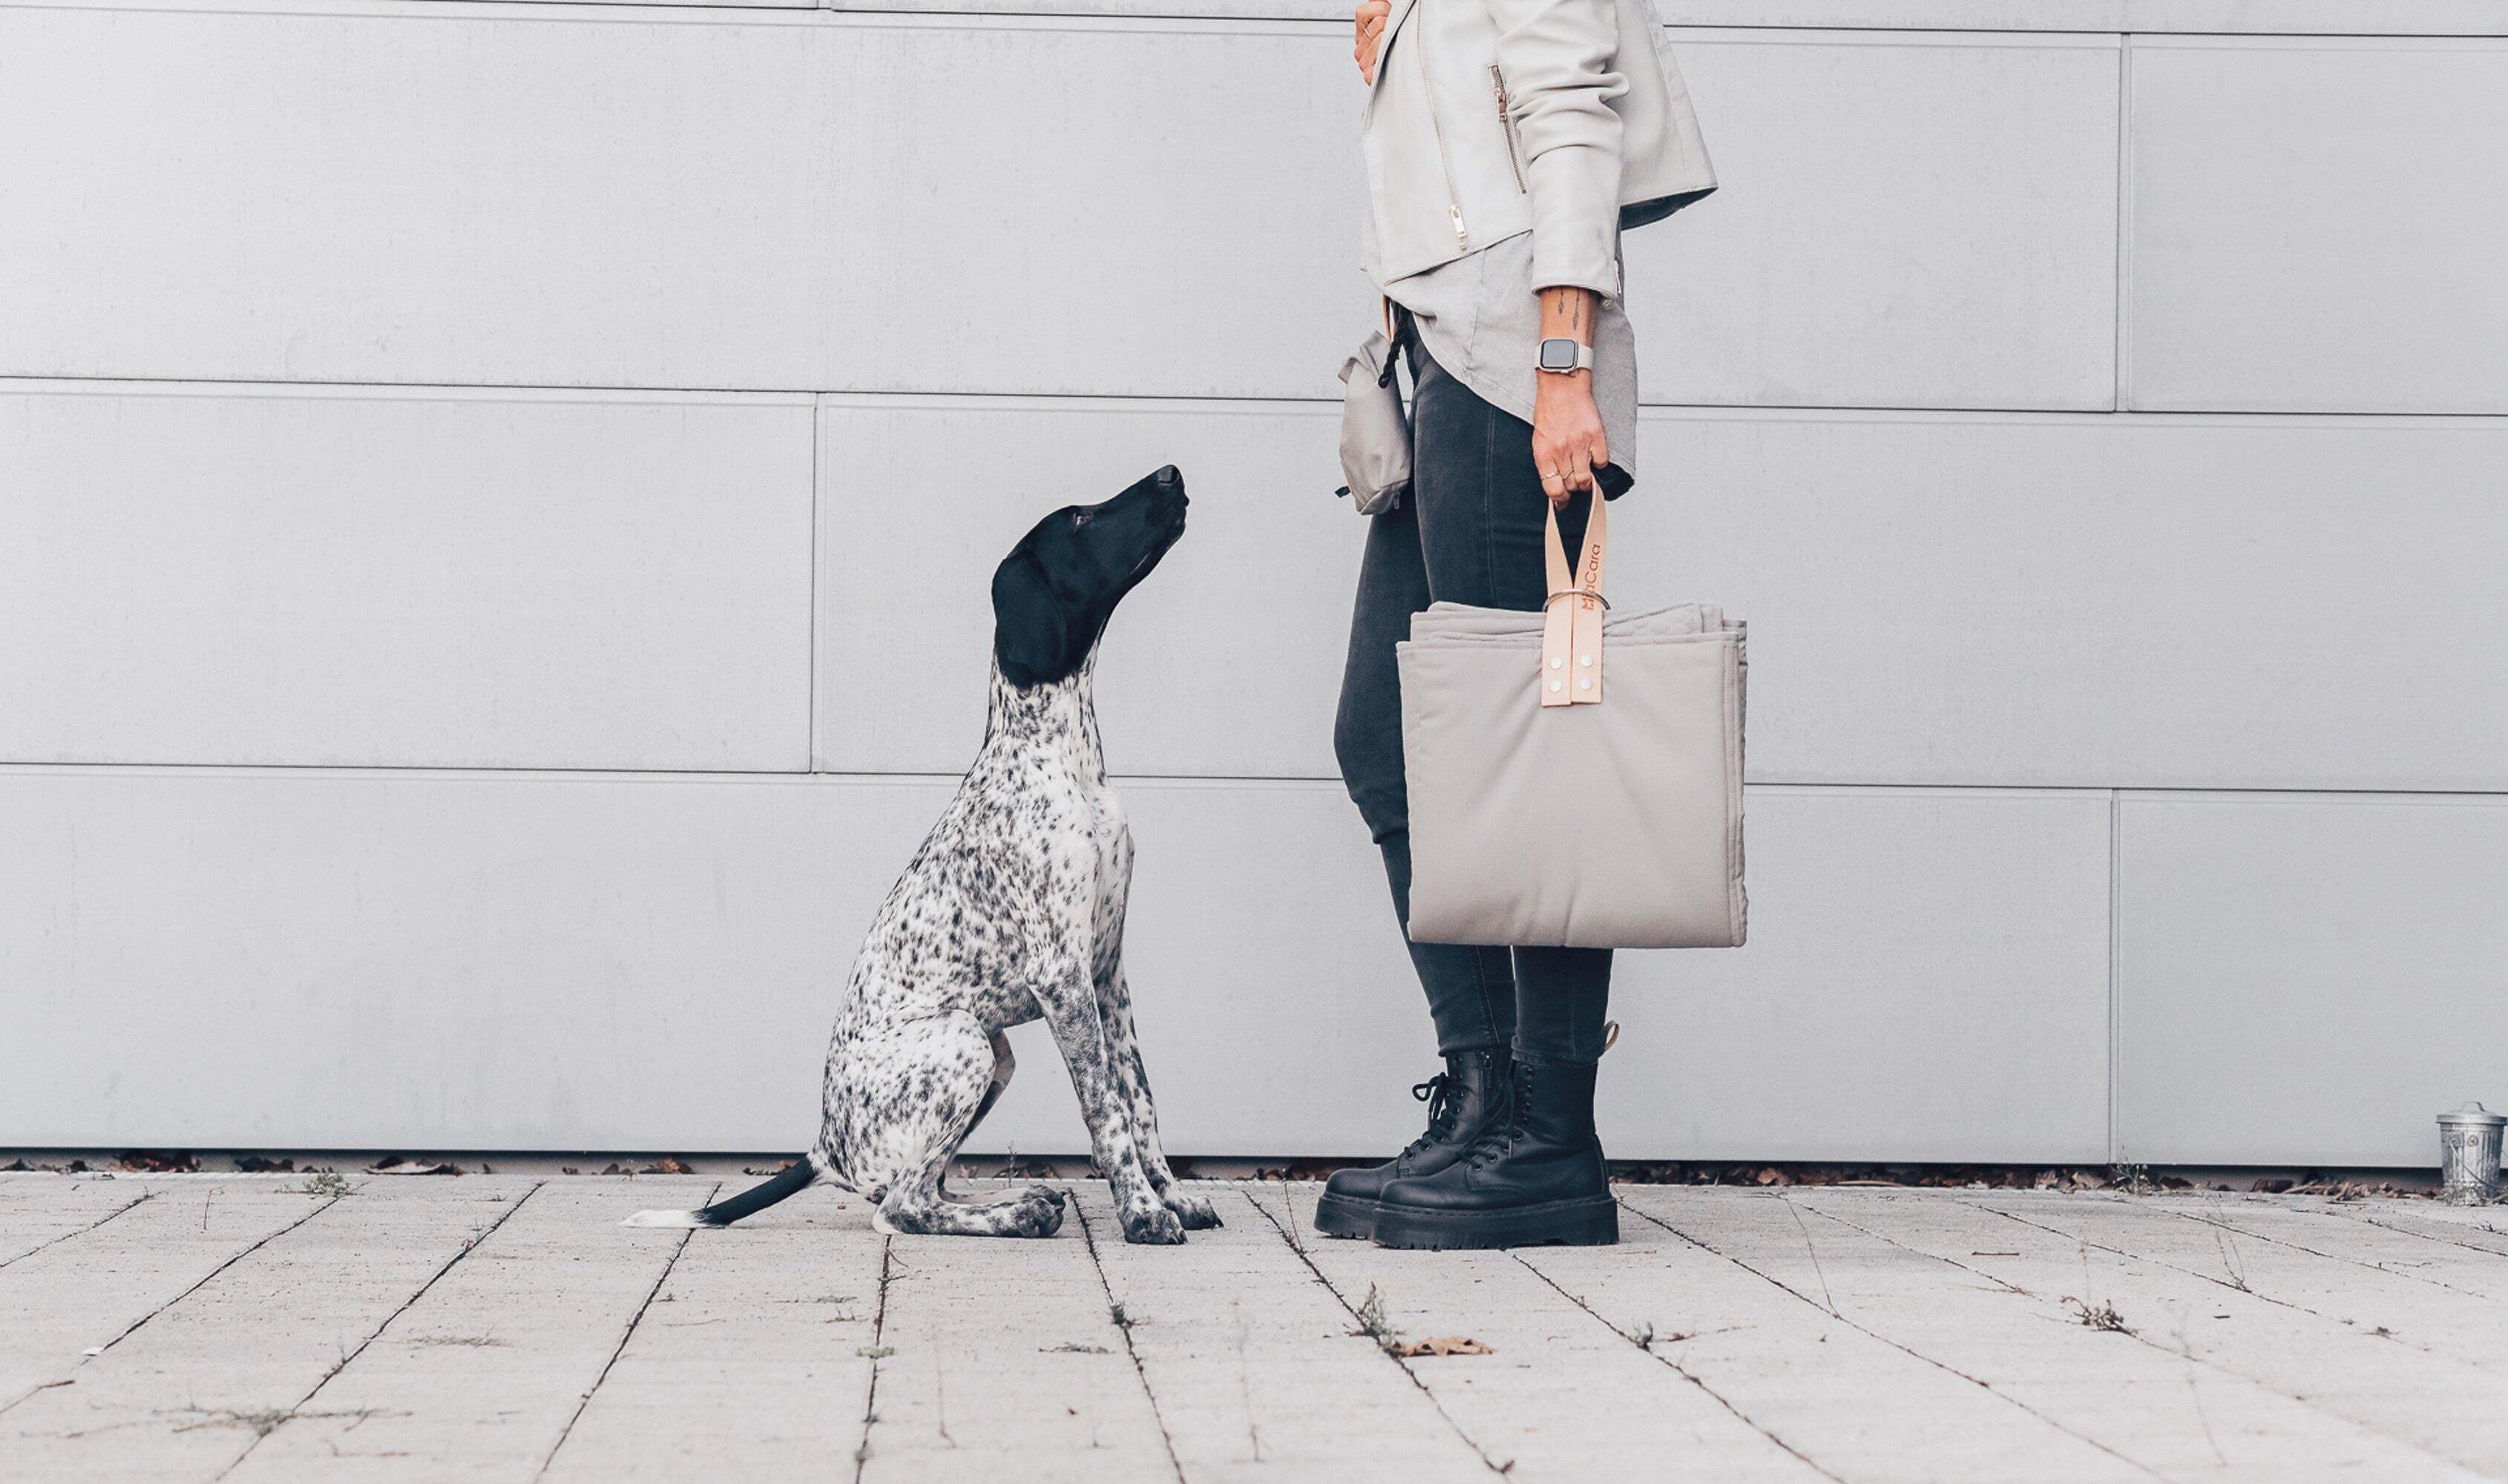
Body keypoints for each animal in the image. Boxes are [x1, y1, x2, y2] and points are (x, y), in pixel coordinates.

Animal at [628, 465, 1218, 1244]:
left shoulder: (1108, 972)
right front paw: (1143, 1213)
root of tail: (823, 1148)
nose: (1172, 473)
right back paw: (1019, 1212)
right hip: (966, 1042)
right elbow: (1107, 1110)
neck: (1063, 760)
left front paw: (1172, 1197)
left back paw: (1021, 1203)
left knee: (924, 1189)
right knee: (899, 1207)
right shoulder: (1063, 976)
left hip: (994, 1056)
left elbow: (1142, 1103)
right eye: (1081, 521)